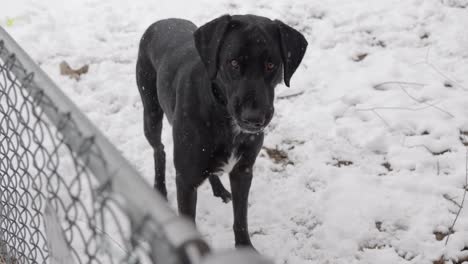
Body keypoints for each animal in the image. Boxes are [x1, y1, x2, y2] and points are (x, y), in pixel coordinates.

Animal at [137, 14, 308, 249]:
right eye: (233, 63)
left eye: (271, 64)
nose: (253, 118)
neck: (221, 113)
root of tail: (163, 20)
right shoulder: (185, 181)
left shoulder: (243, 170)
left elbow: (241, 217)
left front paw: (245, 248)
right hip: (151, 113)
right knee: (159, 149)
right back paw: (160, 188)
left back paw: (219, 189)